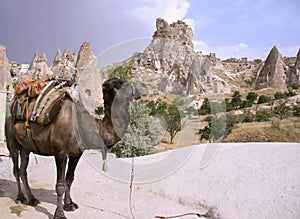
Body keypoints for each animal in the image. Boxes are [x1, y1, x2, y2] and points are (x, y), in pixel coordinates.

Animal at [4, 78, 141, 218]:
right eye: (120, 83)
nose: (139, 90)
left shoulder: (77, 153)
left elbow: (69, 179)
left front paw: (69, 205)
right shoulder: (60, 152)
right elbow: (60, 185)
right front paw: (59, 214)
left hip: (25, 147)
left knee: (23, 170)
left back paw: (32, 199)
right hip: (12, 141)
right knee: (16, 169)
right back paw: (20, 197)